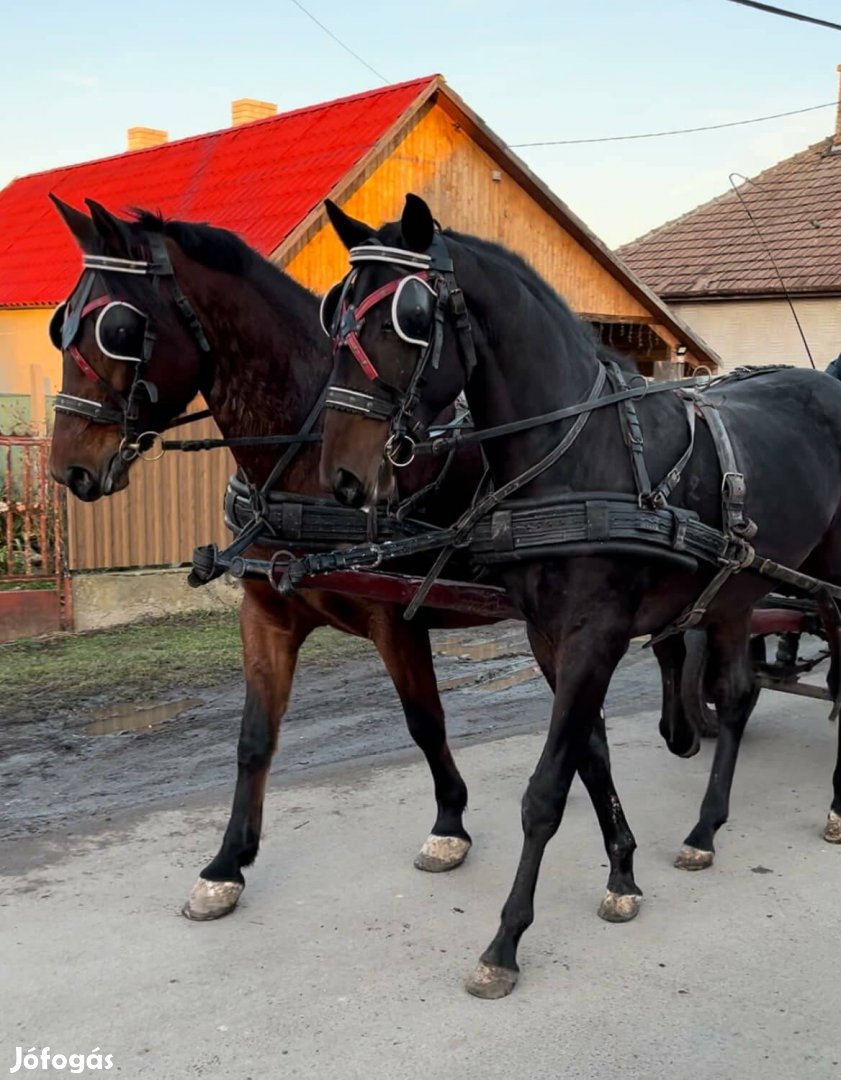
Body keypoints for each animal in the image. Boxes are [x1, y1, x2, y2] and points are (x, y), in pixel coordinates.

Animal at [317, 192, 841, 993]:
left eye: (406, 318)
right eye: (336, 314)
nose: (343, 476)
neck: (579, 455)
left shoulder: (595, 634)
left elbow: (544, 791)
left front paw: (504, 941)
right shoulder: (550, 638)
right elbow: (590, 759)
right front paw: (622, 875)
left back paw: (836, 806)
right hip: (736, 590)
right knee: (738, 694)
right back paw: (704, 827)